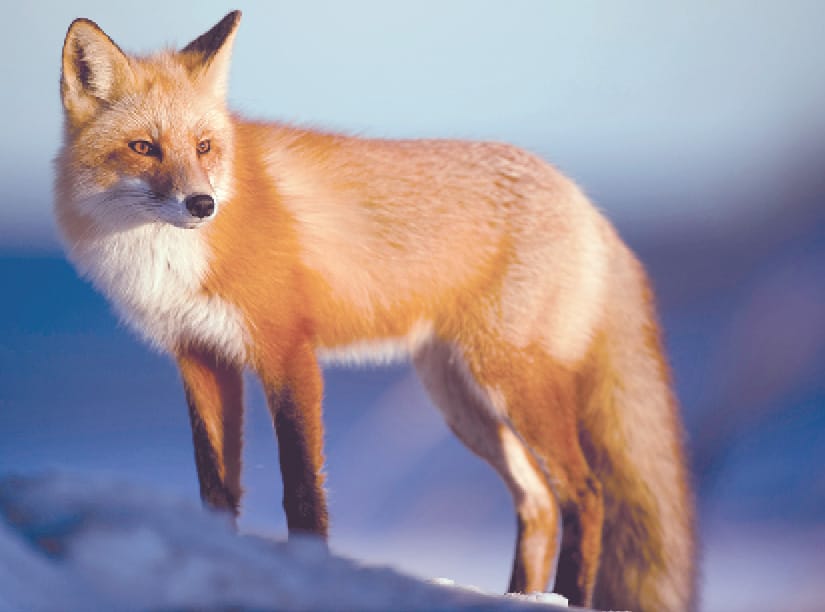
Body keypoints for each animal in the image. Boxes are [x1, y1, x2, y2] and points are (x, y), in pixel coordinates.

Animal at [54, 10, 695, 611]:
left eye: (204, 147)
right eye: (144, 147)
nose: (202, 204)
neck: (169, 260)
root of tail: (585, 202)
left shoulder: (288, 351)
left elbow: (302, 490)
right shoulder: (201, 357)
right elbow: (216, 488)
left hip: (512, 382)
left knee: (585, 493)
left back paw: (569, 597)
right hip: (461, 399)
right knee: (538, 500)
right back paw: (518, 596)